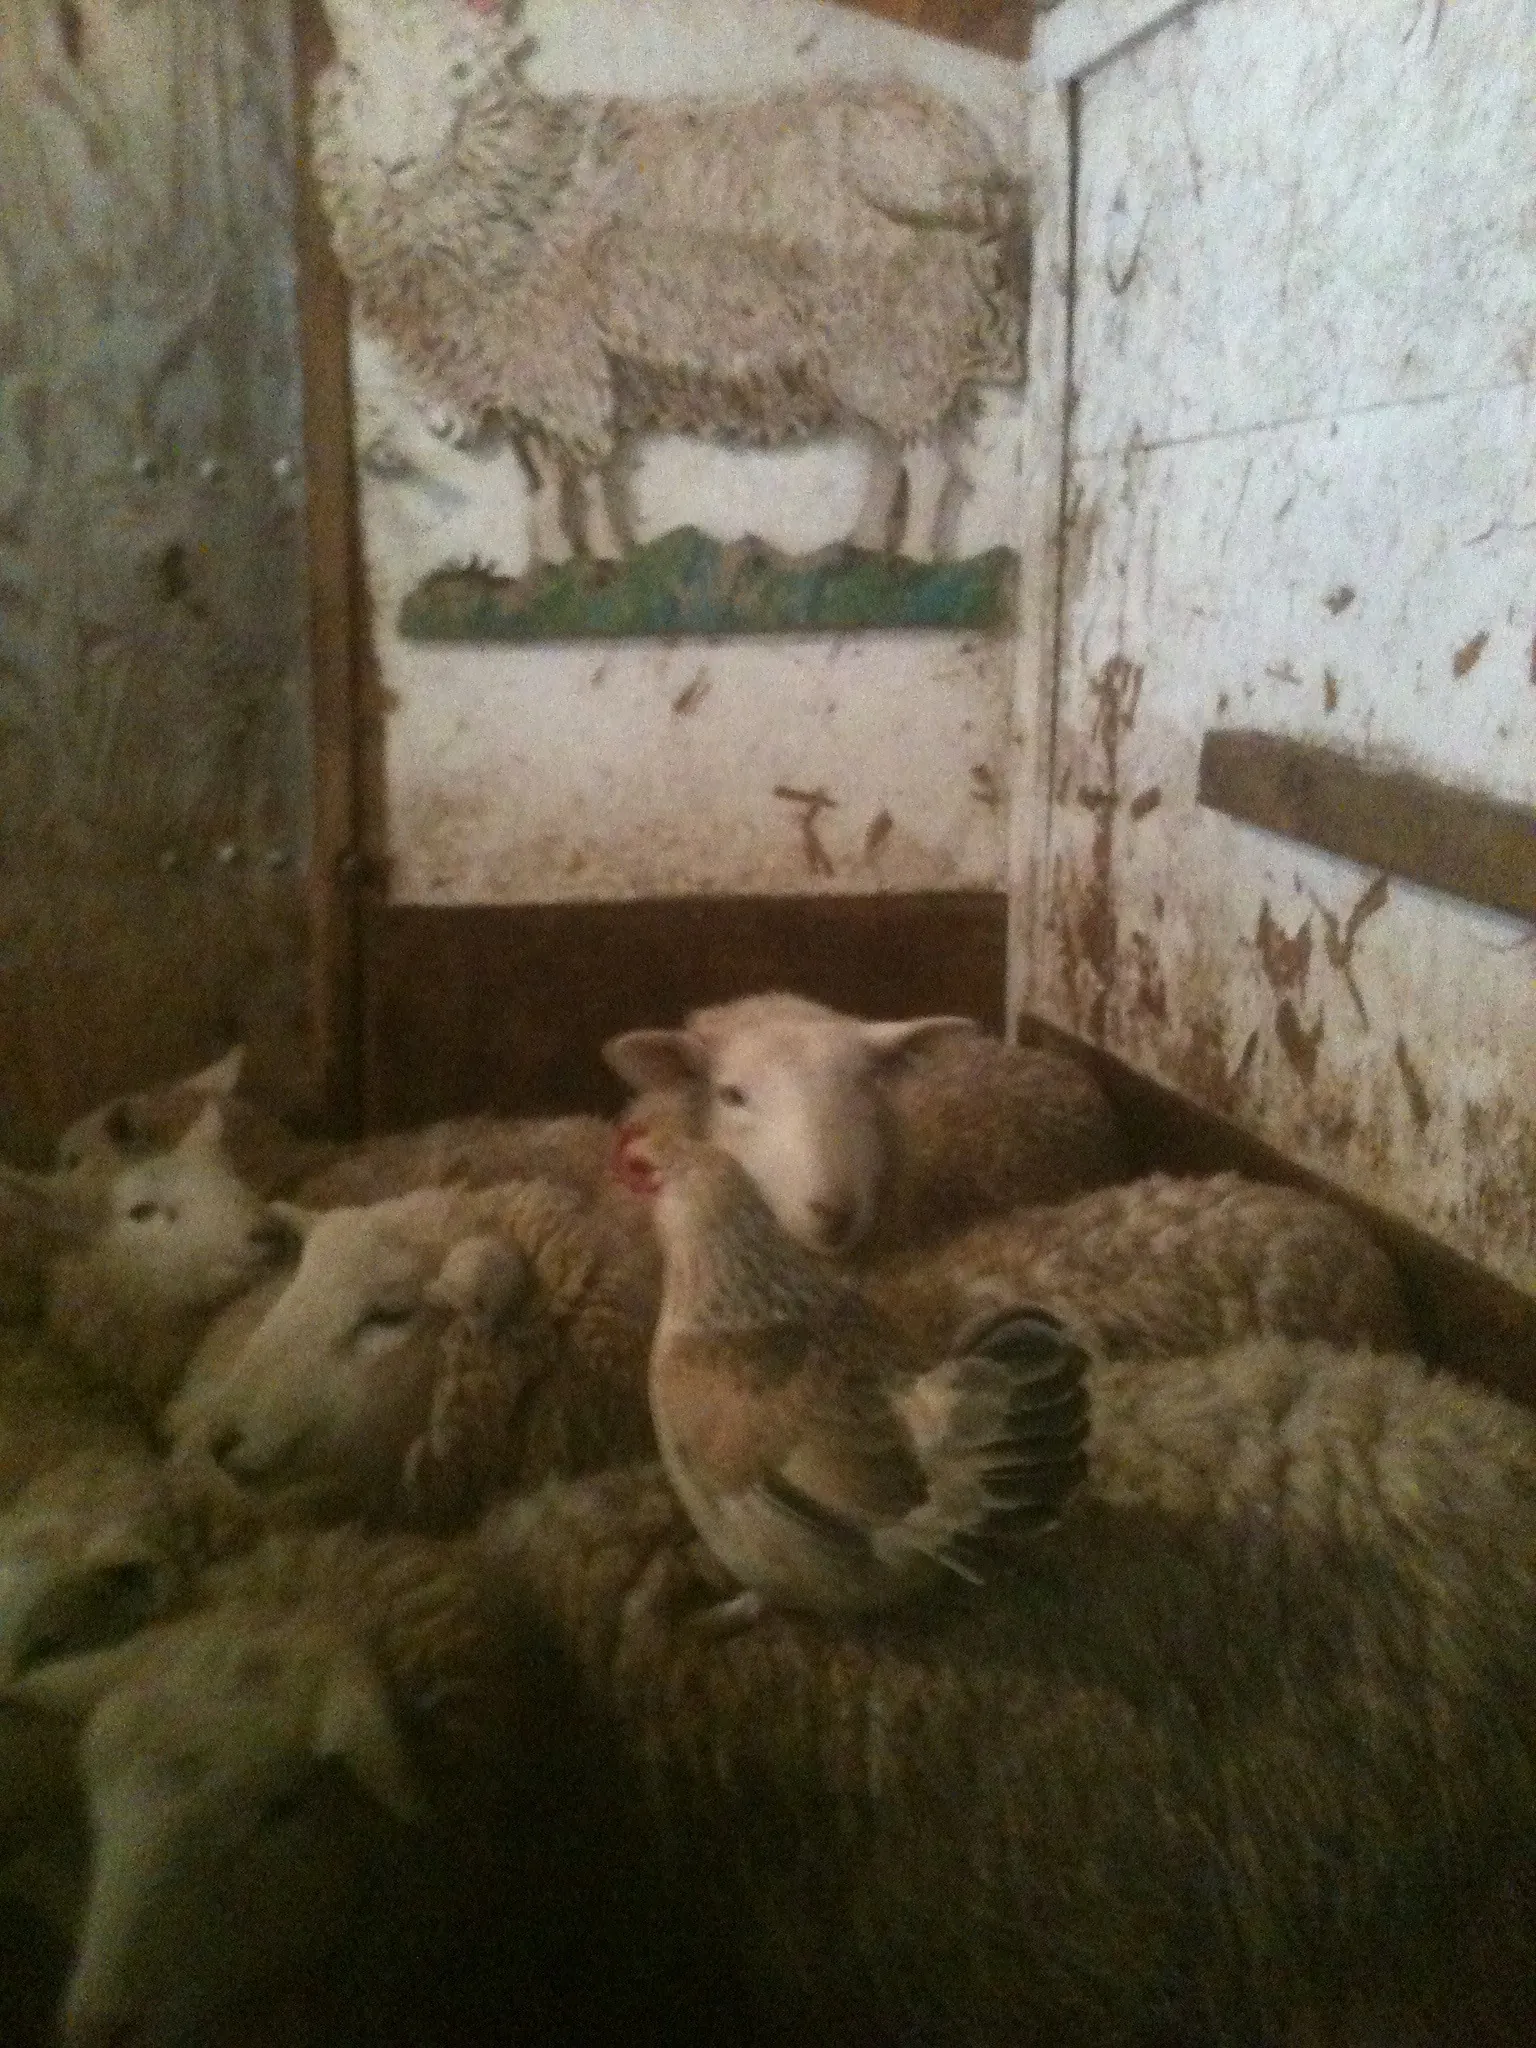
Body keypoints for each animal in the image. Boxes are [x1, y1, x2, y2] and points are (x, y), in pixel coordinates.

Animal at [311, 0, 1027, 568]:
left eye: (459, 74)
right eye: (357, 74)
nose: (392, 163)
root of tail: (946, 134)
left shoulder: (564, 361)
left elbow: (587, 471)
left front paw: (603, 559)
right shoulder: (523, 370)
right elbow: (546, 482)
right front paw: (550, 567)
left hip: (898, 327)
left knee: (929, 464)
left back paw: (912, 566)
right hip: (880, 342)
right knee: (891, 451)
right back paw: (865, 546)